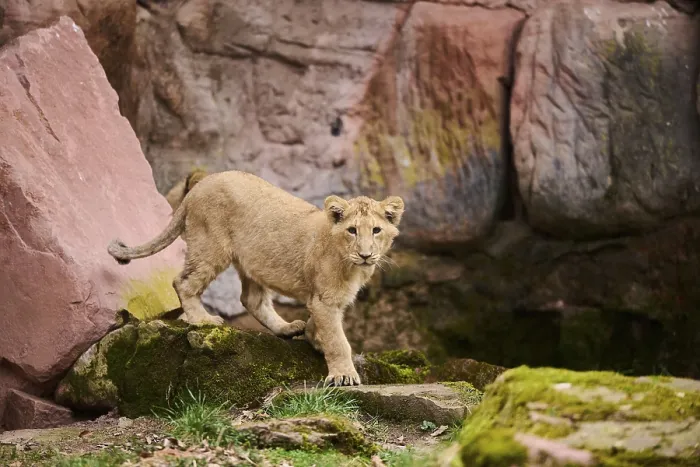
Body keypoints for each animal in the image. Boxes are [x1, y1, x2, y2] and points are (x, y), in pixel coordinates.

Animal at [107, 170, 405, 386]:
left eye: (376, 230)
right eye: (352, 230)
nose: (366, 255)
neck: (352, 266)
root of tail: (199, 187)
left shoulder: (326, 300)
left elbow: (320, 325)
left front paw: (312, 336)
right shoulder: (327, 300)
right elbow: (338, 340)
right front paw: (343, 374)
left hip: (254, 261)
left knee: (251, 299)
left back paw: (287, 328)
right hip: (211, 247)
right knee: (183, 282)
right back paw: (202, 319)